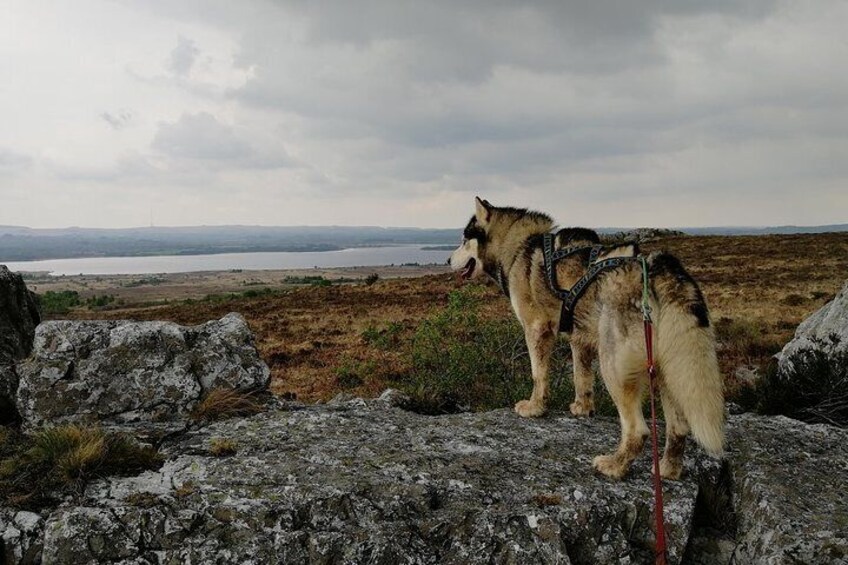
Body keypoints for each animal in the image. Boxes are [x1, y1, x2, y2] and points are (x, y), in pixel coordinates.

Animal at [450, 196, 724, 478]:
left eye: (463, 239)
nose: (448, 259)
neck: (518, 246)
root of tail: (659, 270)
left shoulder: (537, 329)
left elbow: (539, 375)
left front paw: (535, 408)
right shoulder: (579, 338)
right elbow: (581, 377)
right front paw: (582, 408)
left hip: (613, 366)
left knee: (638, 430)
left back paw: (615, 465)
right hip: (667, 370)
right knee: (679, 427)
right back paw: (667, 470)